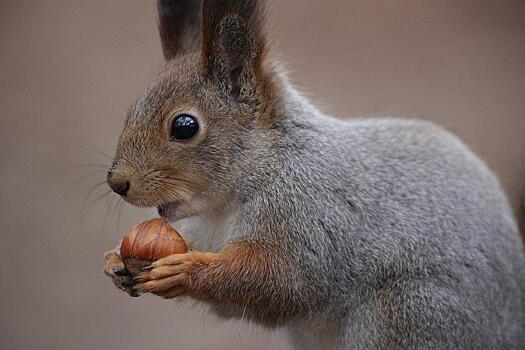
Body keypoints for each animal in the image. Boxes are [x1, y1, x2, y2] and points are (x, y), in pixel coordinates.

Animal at [102, 1, 524, 348]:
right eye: (132, 111)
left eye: (184, 126)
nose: (117, 182)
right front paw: (116, 261)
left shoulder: (309, 216)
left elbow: (282, 283)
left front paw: (184, 271)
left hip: (413, 312)